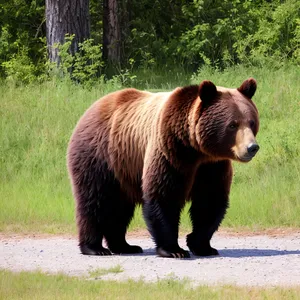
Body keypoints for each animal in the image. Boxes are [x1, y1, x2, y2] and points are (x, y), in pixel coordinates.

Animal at [67, 78, 258, 258]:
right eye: (232, 124)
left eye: (251, 122)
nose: (252, 147)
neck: (195, 149)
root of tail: (90, 109)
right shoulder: (169, 152)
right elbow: (164, 195)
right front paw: (174, 250)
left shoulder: (212, 166)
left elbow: (209, 200)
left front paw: (202, 246)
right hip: (99, 156)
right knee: (94, 200)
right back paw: (94, 247)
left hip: (123, 169)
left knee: (120, 207)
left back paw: (124, 246)